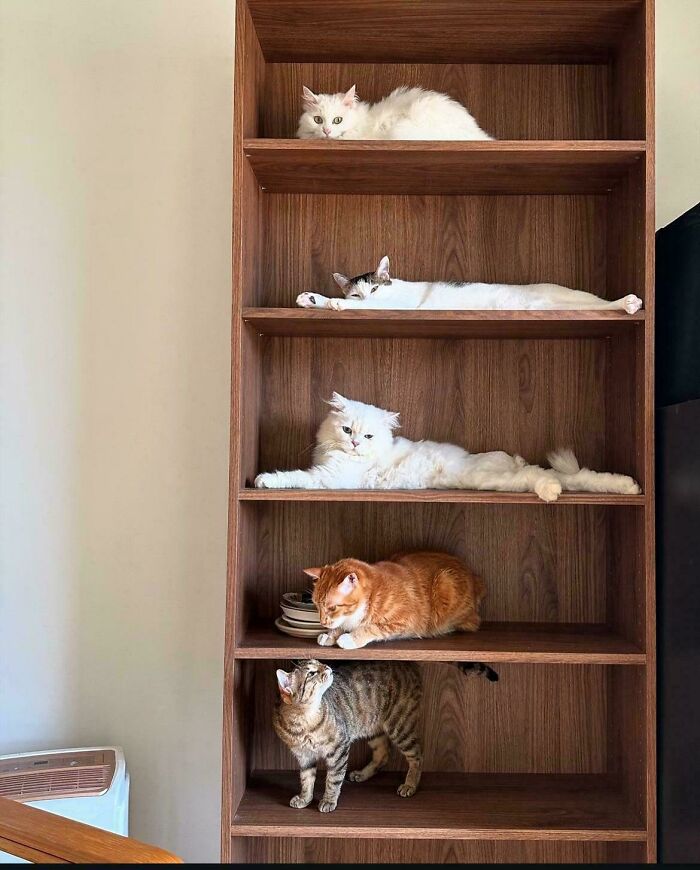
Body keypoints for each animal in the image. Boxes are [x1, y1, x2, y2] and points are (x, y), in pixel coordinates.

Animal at [254, 392, 644, 500]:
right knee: (577, 476)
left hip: (496, 480)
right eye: (347, 429)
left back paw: (551, 492)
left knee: (542, 476)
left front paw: (264, 480)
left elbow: (291, 477)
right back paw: (628, 486)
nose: (352, 443)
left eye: (367, 437)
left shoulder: (328, 479)